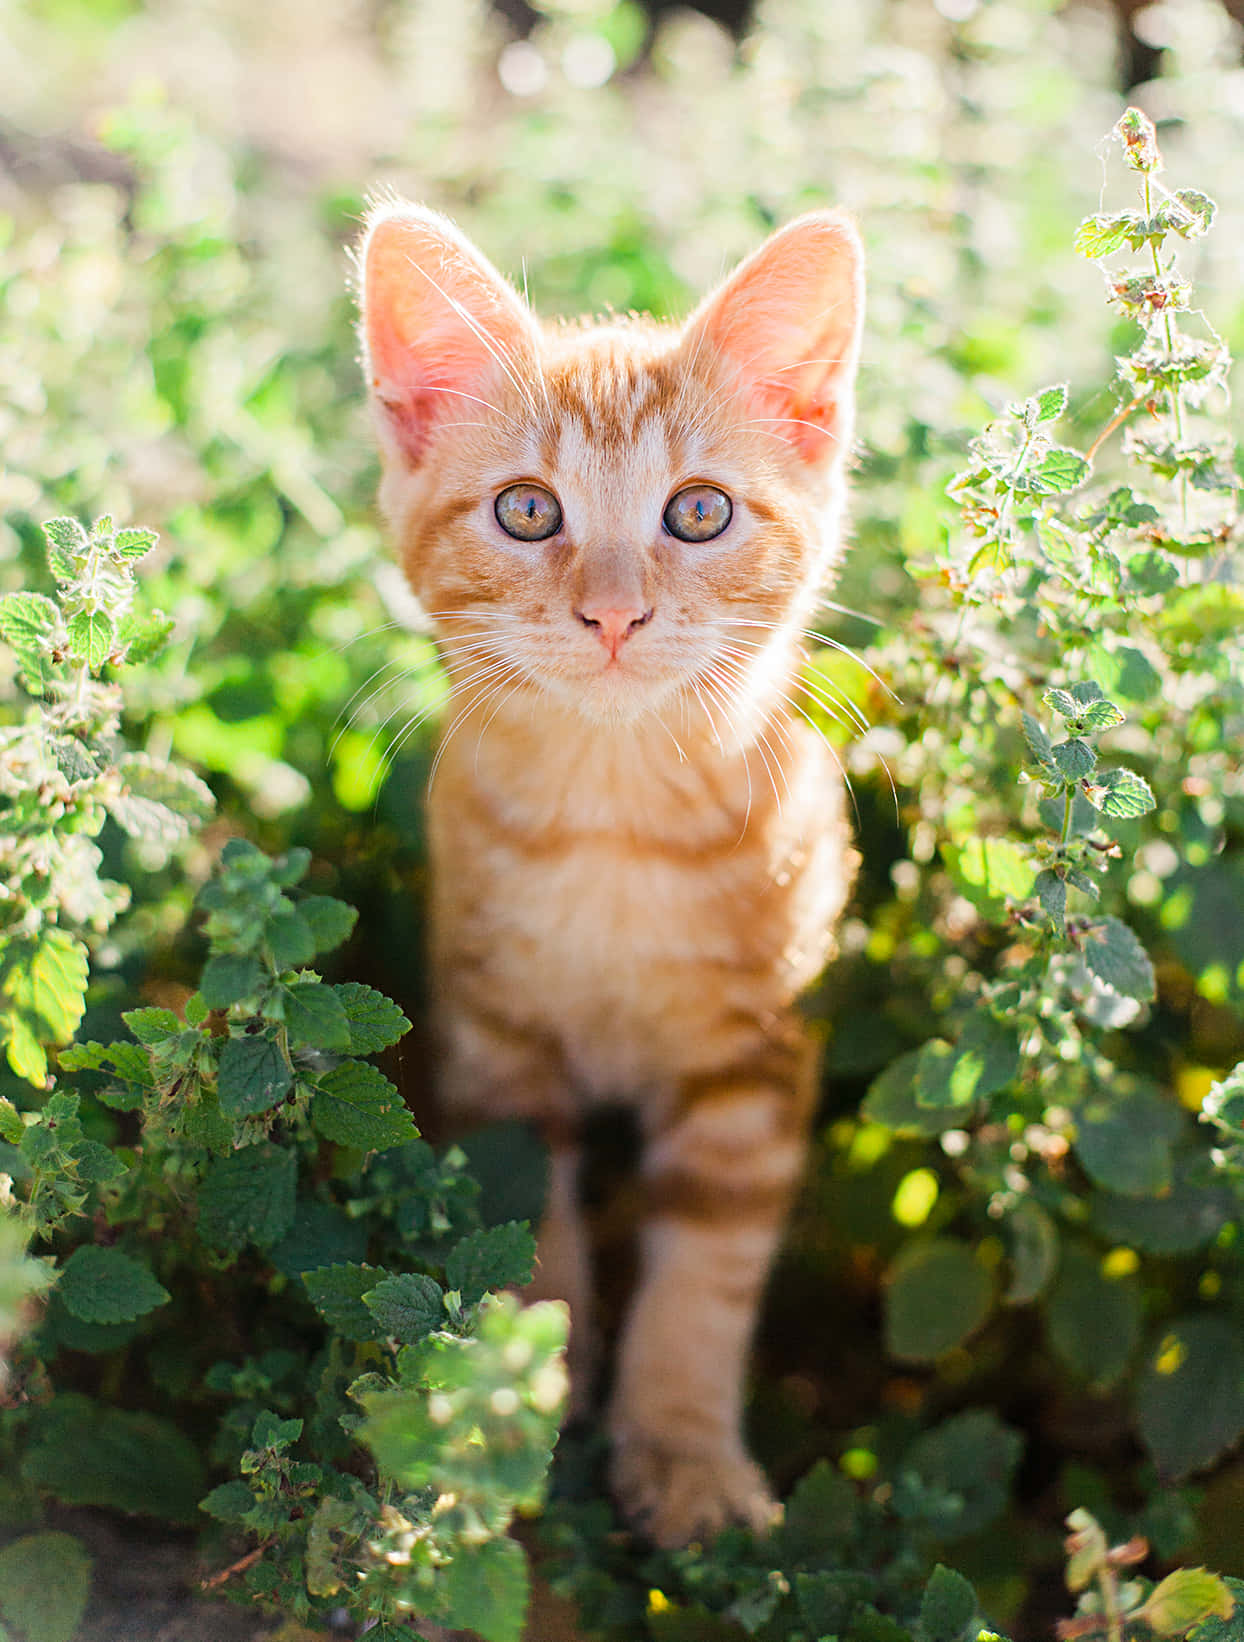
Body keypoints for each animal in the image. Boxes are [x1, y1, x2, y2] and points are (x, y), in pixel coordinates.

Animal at [356, 198, 859, 1543]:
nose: (614, 614)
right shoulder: (494, 1039)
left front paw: (682, 1451)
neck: (615, 826)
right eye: (529, 512)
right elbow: (527, 1224)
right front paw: (514, 1405)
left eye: (698, 513)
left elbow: (707, 1268)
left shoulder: (758, 1053)